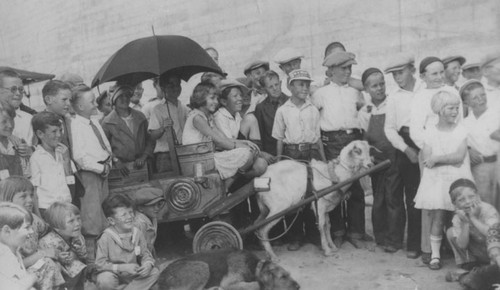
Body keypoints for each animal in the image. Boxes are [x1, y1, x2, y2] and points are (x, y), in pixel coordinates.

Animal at [159, 248, 300, 288]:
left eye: (289, 274)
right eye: (283, 277)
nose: (298, 287)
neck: (254, 266)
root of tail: (161, 278)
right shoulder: (228, 282)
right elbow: (254, 284)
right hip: (203, 266)